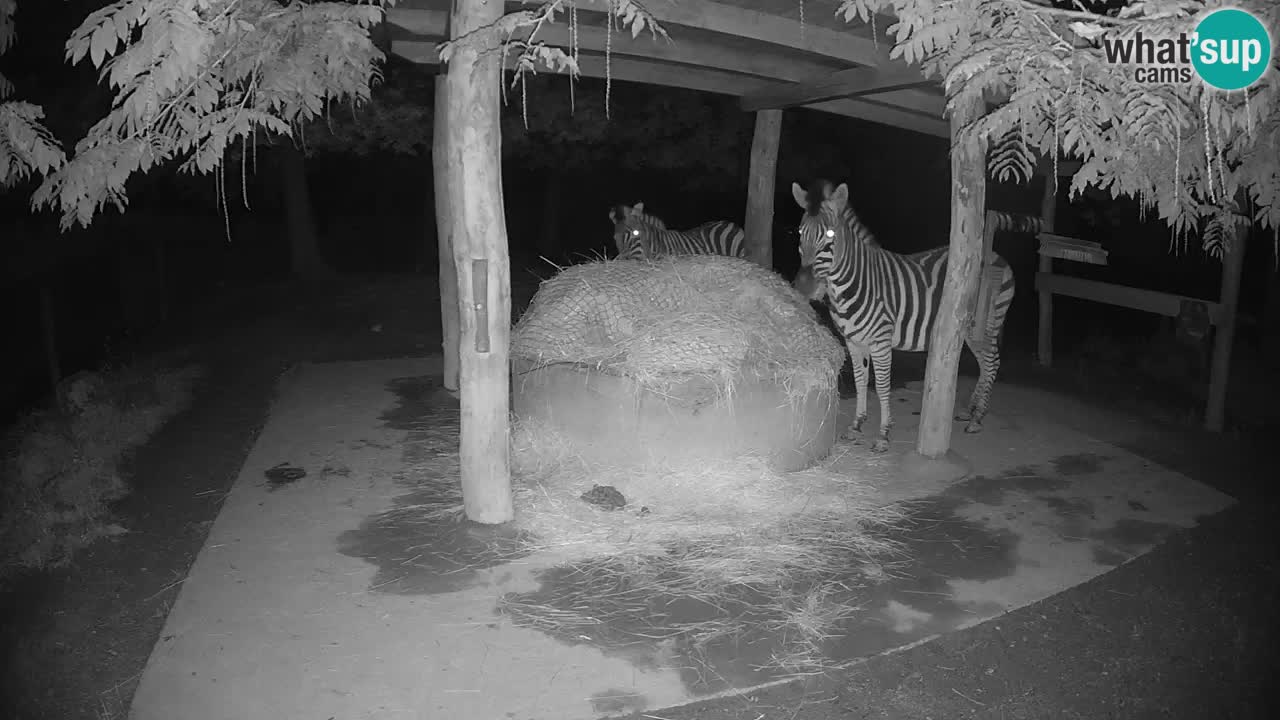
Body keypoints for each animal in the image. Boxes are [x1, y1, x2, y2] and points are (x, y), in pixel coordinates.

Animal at [791, 179, 1018, 453]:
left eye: (830, 235)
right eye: (800, 232)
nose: (803, 287)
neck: (853, 282)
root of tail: (997, 256)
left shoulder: (880, 340)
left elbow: (881, 385)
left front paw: (883, 434)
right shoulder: (853, 341)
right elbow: (859, 381)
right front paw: (857, 425)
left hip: (986, 324)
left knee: (992, 362)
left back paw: (977, 418)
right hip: (969, 331)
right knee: (985, 364)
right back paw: (971, 412)